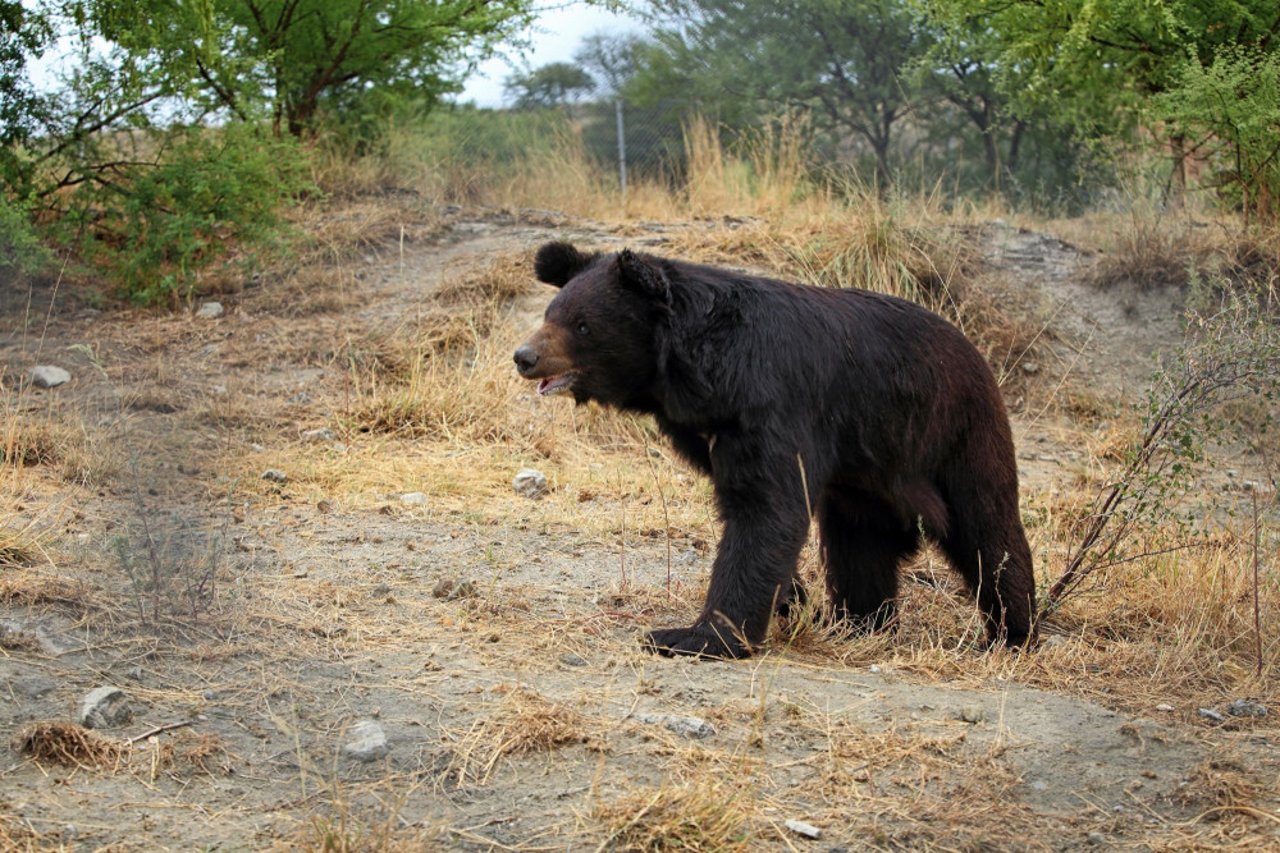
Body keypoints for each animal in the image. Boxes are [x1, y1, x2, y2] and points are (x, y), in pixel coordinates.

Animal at [514, 240, 1034, 655]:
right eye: (549, 315)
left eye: (582, 325)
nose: (524, 357)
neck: (692, 374)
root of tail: (976, 354)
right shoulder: (706, 428)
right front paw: (791, 599)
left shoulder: (770, 402)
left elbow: (767, 507)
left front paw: (692, 636)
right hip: (866, 474)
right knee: (859, 546)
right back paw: (858, 624)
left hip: (954, 431)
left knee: (987, 529)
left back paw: (1011, 634)